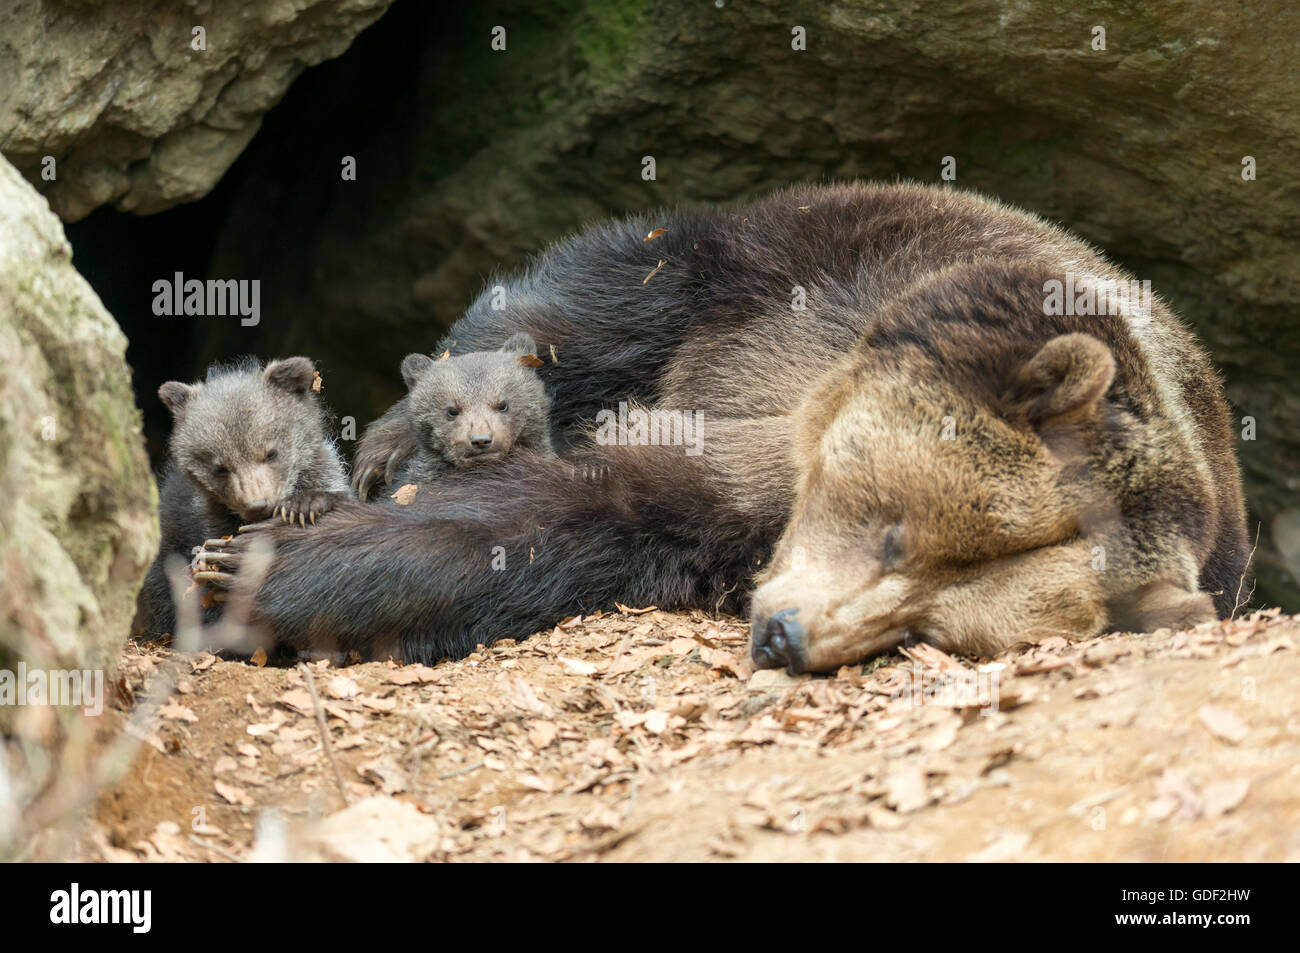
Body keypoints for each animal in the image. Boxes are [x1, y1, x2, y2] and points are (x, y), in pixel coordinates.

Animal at [132, 356, 352, 642]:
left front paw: (304, 505)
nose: (257, 505)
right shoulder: (208, 518)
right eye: (220, 467)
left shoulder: (324, 472)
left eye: (271, 453)